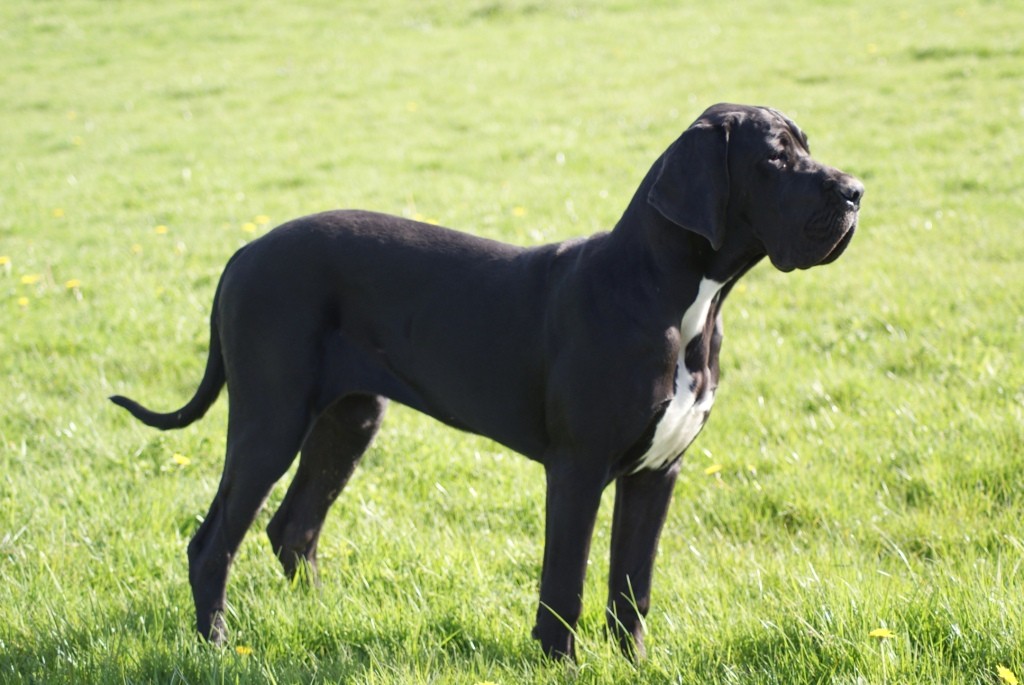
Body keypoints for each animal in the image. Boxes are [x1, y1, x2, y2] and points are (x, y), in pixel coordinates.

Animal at [112, 104, 864, 659]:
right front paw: (560, 662)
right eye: (776, 158)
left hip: (348, 418)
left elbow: (632, 586)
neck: (677, 297)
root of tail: (244, 250)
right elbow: (564, 583)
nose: (856, 190)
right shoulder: (578, 468)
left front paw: (635, 664)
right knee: (214, 541)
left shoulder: (657, 472)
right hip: (271, 420)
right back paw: (216, 643)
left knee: (293, 527)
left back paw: (319, 619)